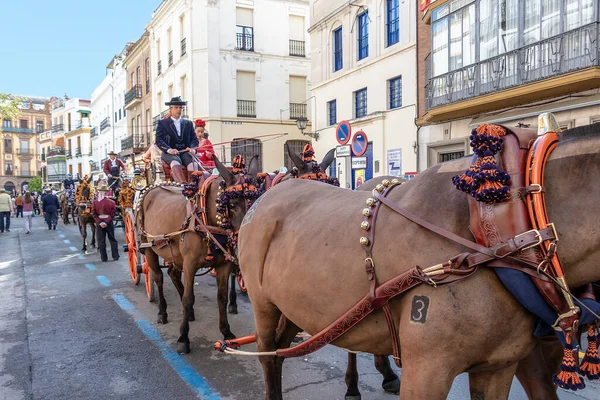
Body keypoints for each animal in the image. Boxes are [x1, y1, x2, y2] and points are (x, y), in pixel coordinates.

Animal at [138, 155, 260, 354]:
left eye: (256, 200)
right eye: (231, 204)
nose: (246, 243)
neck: (205, 220)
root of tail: (152, 188)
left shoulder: (223, 265)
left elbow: (222, 297)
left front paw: (226, 332)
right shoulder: (190, 264)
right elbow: (188, 298)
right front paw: (183, 338)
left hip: (174, 254)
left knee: (172, 273)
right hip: (148, 247)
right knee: (158, 277)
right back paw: (162, 312)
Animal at [234, 124, 600, 396]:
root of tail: (264, 199)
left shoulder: (500, 366)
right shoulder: (427, 369)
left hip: (294, 304)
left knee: (281, 351)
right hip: (264, 302)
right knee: (268, 355)